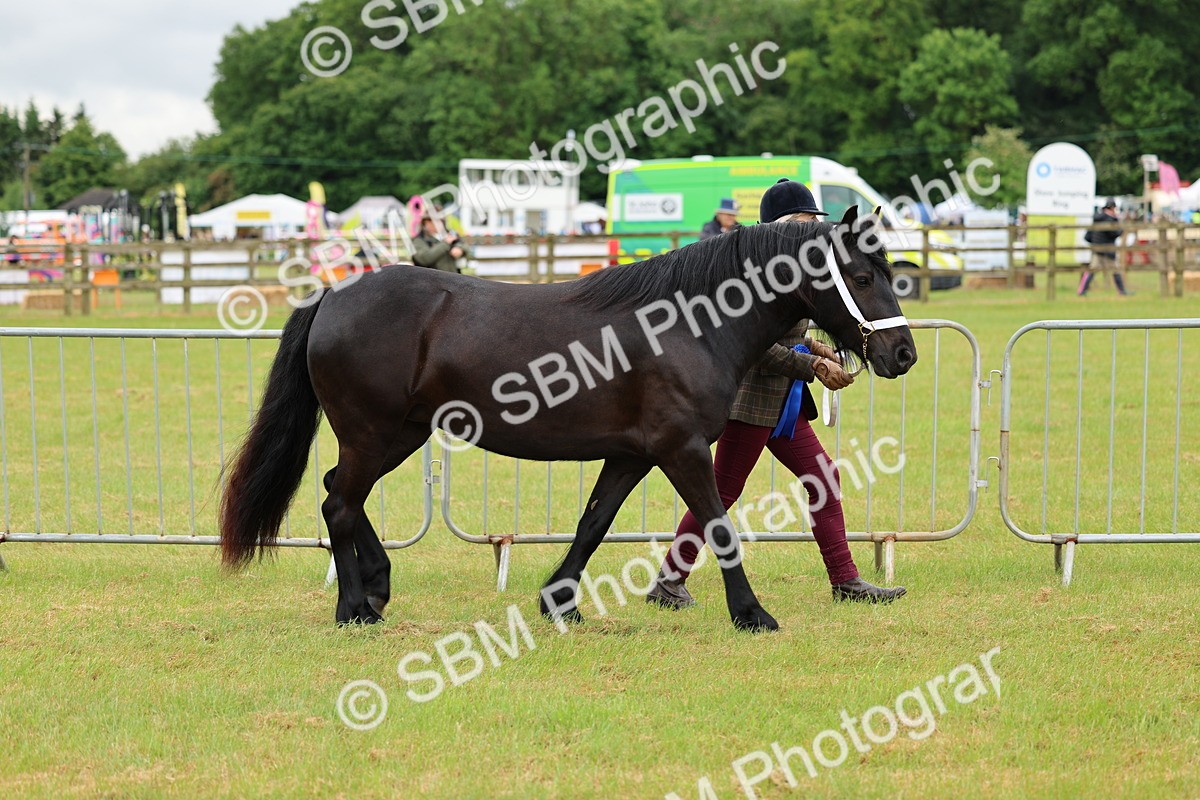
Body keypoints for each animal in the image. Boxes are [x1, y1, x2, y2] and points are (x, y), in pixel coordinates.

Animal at [219, 206, 916, 631]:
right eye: (860, 275)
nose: (902, 353)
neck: (687, 323)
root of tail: (334, 294)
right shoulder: (682, 449)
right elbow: (718, 525)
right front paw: (752, 614)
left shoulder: (633, 455)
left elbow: (593, 524)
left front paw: (559, 603)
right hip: (375, 434)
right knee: (338, 502)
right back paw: (354, 607)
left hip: (400, 434)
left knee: (340, 494)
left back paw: (378, 587)